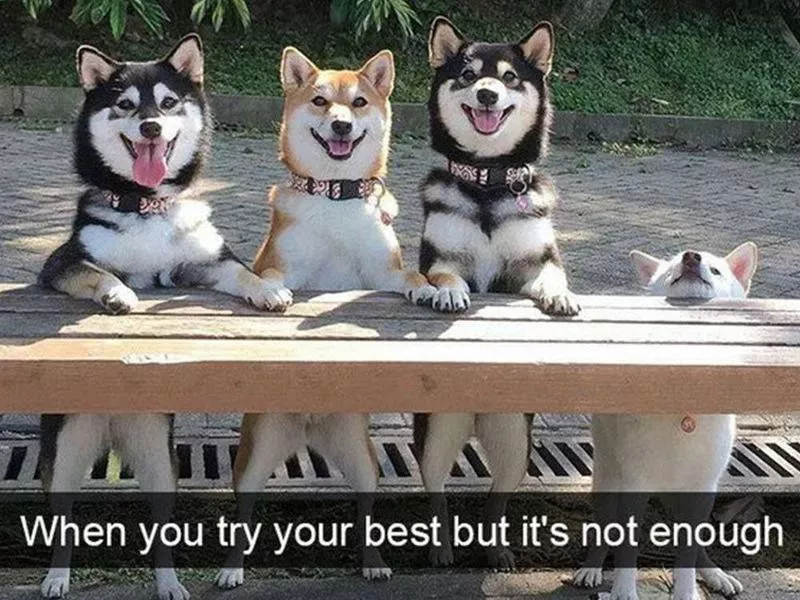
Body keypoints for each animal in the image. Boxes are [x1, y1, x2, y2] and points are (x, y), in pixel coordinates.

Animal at [36, 34, 290, 600]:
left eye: (168, 103)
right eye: (126, 105)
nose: (151, 126)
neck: (144, 206)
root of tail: (112, 433)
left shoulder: (201, 265)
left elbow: (241, 273)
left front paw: (269, 291)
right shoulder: (61, 265)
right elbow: (101, 273)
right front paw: (120, 296)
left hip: (159, 463)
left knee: (161, 530)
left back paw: (170, 583)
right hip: (65, 454)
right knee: (62, 520)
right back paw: (57, 579)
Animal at [216, 48, 440, 592]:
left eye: (358, 103)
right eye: (319, 101)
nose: (340, 124)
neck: (335, 198)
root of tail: (308, 431)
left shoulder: (384, 272)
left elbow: (411, 276)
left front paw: (432, 290)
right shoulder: (281, 263)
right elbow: (266, 277)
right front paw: (270, 294)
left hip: (362, 460)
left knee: (365, 509)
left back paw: (373, 562)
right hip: (254, 459)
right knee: (244, 513)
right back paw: (232, 569)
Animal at [416, 18, 580, 568]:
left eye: (509, 78)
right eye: (467, 75)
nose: (487, 93)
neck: (487, 183)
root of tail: (476, 417)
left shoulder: (533, 263)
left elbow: (552, 276)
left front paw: (561, 298)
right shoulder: (442, 259)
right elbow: (445, 277)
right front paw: (448, 296)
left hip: (515, 444)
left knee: (497, 497)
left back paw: (498, 549)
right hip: (437, 435)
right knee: (435, 489)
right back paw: (442, 547)